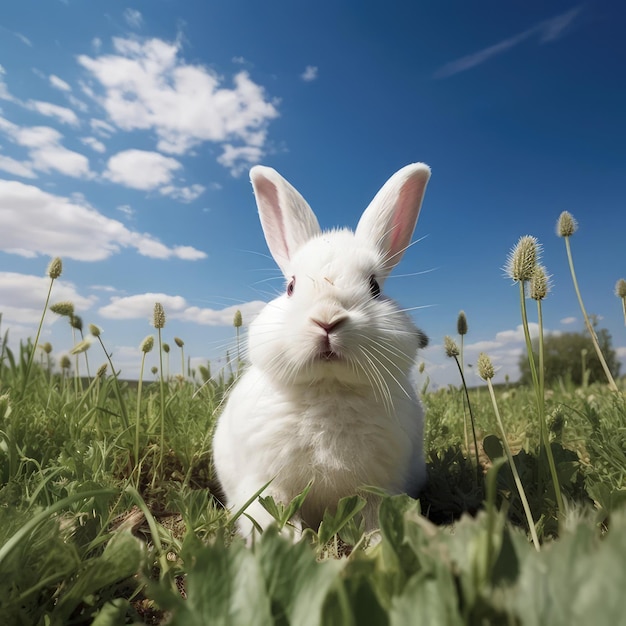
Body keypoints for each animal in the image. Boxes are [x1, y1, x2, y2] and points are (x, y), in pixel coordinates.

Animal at [213, 163, 428, 540]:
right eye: (291, 286)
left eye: (374, 287)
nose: (327, 320)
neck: (328, 387)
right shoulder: (266, 482)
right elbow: (271, 513)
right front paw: (288, 541)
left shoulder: (379, 485)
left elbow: (374, 516)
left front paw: (377, 543)